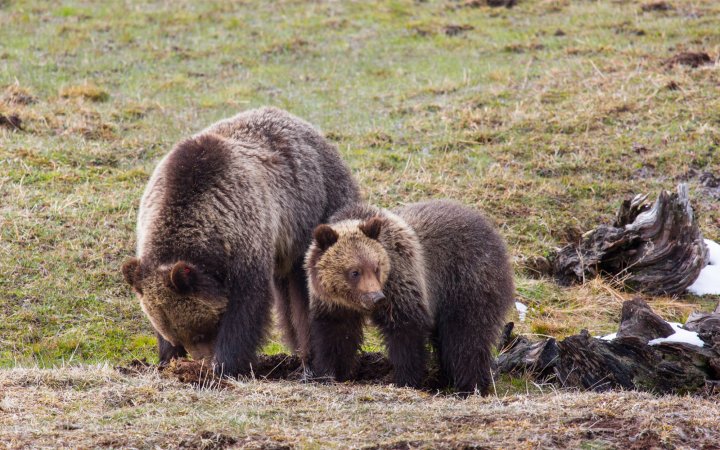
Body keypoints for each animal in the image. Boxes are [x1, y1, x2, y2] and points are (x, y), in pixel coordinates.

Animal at [124, 106, 362, 376]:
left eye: (200, 332)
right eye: (179, 336)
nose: (201, 360)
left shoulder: (245, 235)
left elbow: (246, 308)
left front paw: (225, 364)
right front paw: (168, 359)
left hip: (318, 210)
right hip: (287, 247)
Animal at [306, 200, 516, 394]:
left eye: (376, 267)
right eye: (354, 272)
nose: (376, 297)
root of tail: (492, 230)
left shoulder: (401, 284)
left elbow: (406, 333)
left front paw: (405, 380)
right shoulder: (333, 305)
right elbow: (335, 337)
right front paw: (330, 373)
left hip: (467, 281)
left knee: (467, 336)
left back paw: (470, 386)